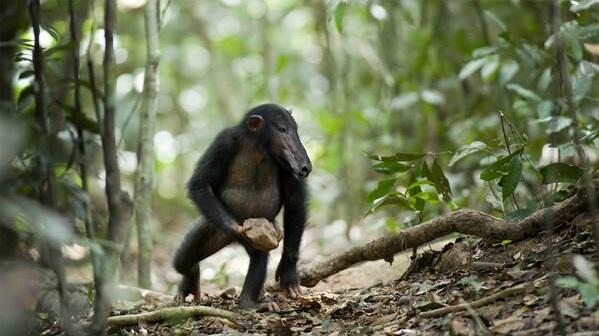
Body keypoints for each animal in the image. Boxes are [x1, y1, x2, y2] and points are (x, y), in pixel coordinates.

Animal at [172, 103, 312, 312]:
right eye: (282, 130)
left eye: (295, 130)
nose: (304, 164)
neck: (258, 147)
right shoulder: (223, 143)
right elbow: (201, 184)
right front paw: (240, 230)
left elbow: (294, 200)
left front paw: (288, 273)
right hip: (212, 226)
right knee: (182, 260)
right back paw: (191, 277)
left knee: (259, 258)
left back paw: (248, 302)